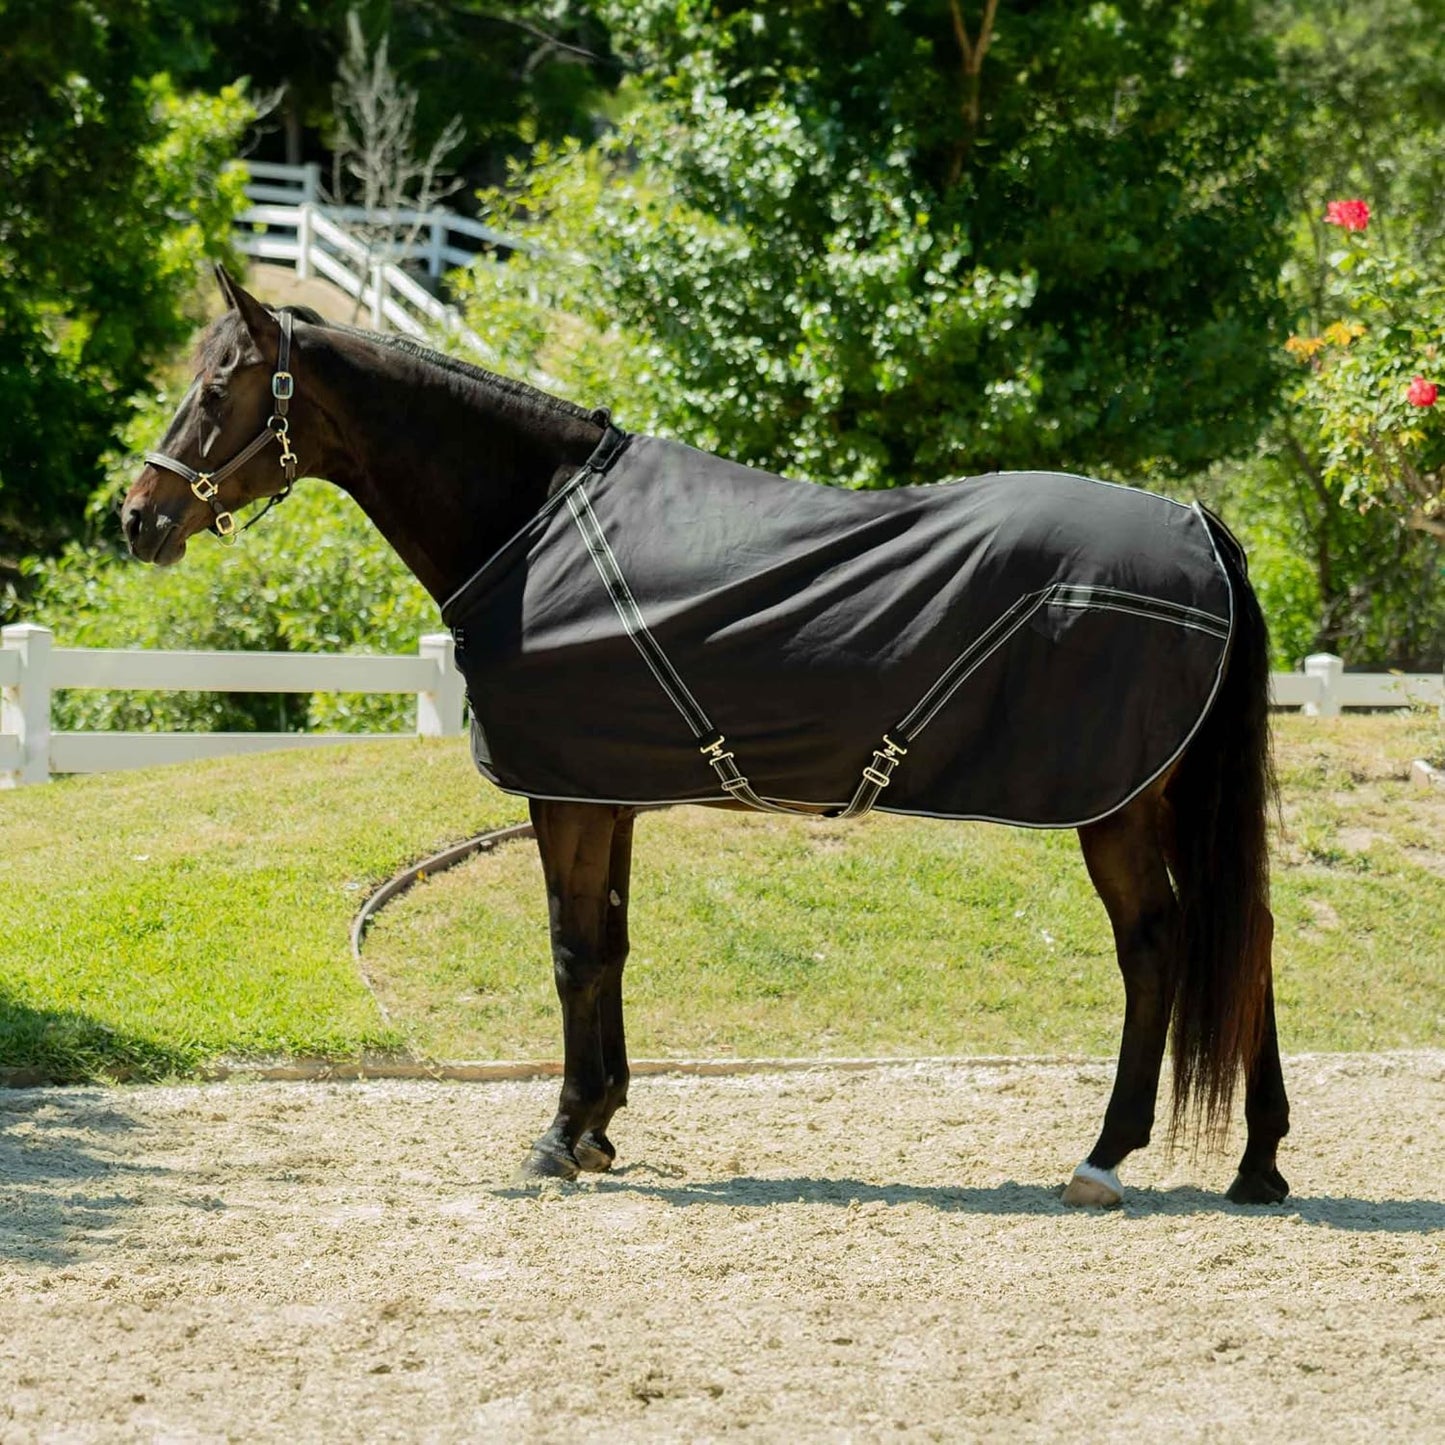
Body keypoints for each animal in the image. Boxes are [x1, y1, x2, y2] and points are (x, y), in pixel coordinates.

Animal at [120, 266, 1290, 1208]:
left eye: (217, 387)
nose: (135, 517)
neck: (532, 524)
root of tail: (1200, 528)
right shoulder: (607, 791)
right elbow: (611, 946)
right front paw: (598, 1124)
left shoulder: (564, 793)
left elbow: (570, 951)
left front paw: (558, 1135)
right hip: (1164, 794)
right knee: (1241, 938)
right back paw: (1257, 1161)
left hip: (1118, 803)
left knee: (1156, 946)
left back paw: (1106, 1154)